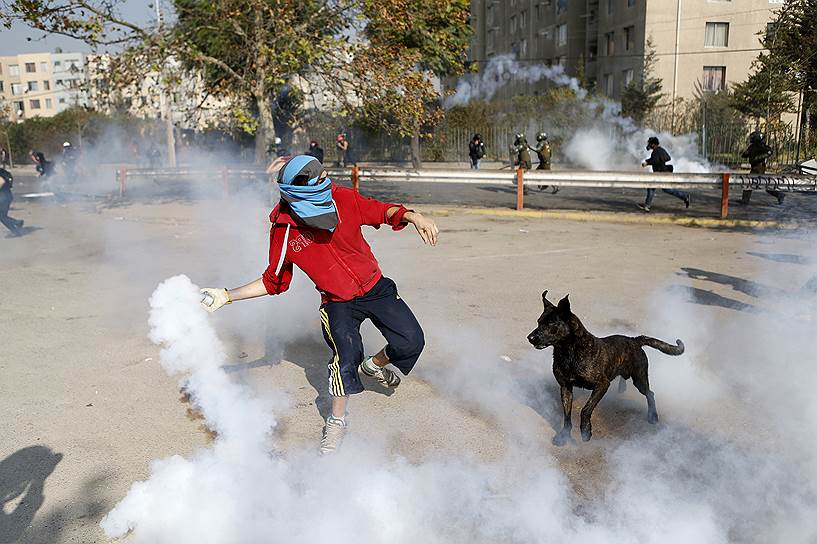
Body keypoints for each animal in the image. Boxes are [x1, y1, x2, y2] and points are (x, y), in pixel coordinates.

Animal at [524, 292, 684, 444]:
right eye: (538, 322)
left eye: (551, 324)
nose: (530, 338)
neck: (569, 351)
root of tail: (634, 340)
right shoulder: (565, 387)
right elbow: (567, 416)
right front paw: (564, 436)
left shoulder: (602, 385)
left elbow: (585, 409)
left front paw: (586, 431)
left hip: (640, 379)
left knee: (650, 393)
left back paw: (653, 416)